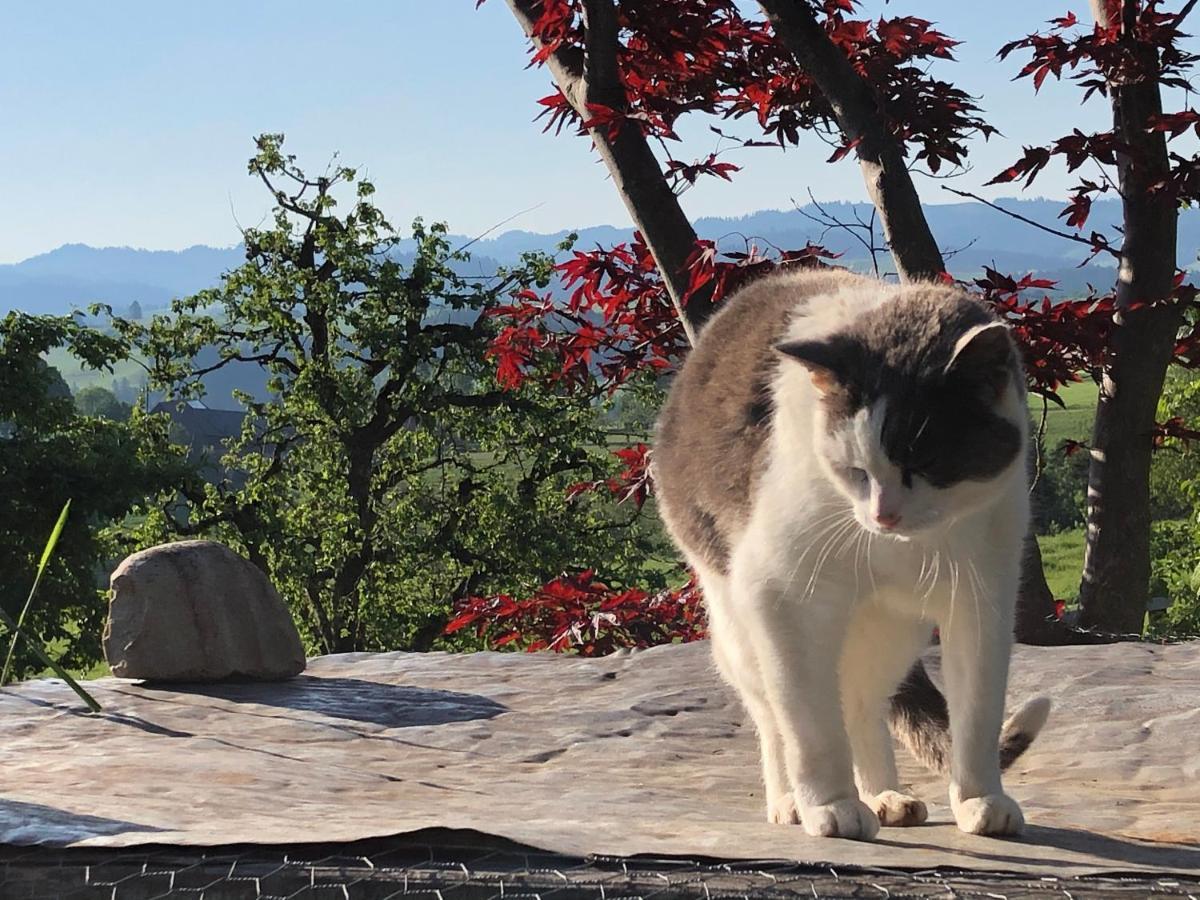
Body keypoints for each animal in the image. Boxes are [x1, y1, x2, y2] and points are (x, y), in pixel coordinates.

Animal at [652, 270, 1056, 844]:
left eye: (927, 462)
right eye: (856, 472)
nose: (883, 515)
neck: (902, 547)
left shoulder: (982, 599)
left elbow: (977, 712)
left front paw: (980, 798)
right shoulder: (781, 596)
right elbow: (810, 726)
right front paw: (831, 804)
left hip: (890, 627)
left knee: (861, 702)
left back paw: (885, 796)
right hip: (738, 620)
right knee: (775, 714)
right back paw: (791, 800)